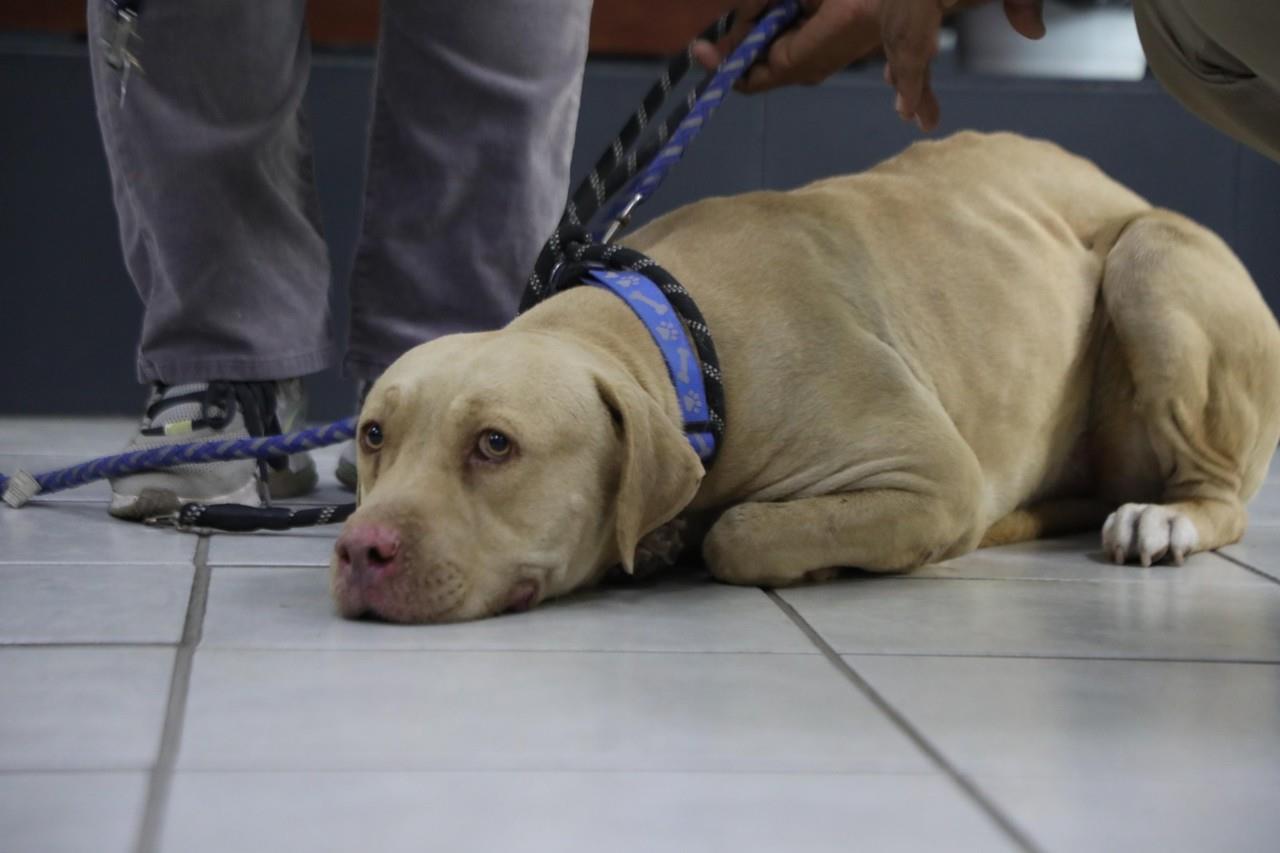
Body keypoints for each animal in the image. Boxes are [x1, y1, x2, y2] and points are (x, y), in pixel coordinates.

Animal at [330, 129, 1280, 622]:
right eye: (374, 434)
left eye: (495, 444)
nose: (359, 547)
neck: (672, 336)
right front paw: (668, 533)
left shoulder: (929, 476)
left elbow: (743, 534)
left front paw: (778, 553)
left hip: (1152, 261)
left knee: (1217, 494)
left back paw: (1162, 518)